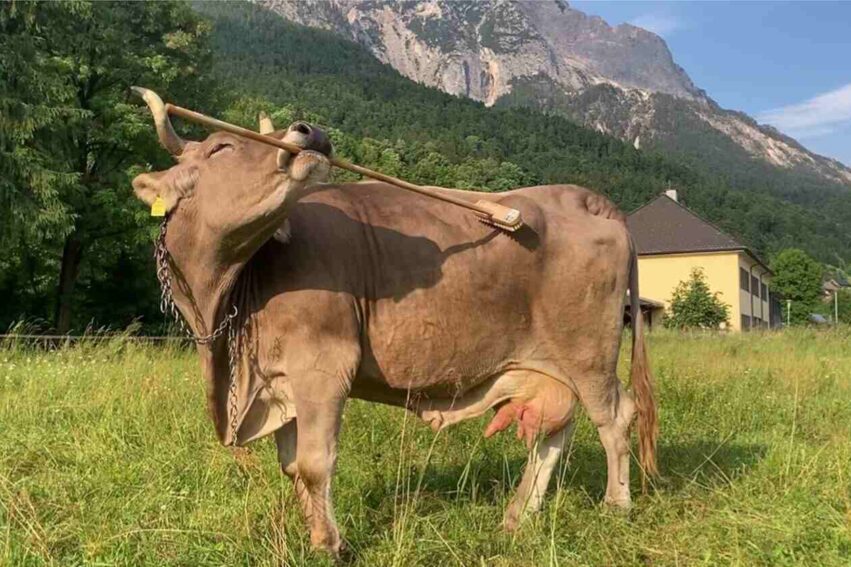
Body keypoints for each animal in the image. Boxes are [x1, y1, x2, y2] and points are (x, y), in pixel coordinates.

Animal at [131, 89, 657, 559]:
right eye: (220, 148)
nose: (310, 131)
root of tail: (582, 197)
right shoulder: (279, 381)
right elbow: (292, 466)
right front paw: (315, 535)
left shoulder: (323, 367)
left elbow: (315, 463)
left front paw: (331, 545)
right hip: (549, 364)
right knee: (556, 430)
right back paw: (517, 516)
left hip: (589, 352)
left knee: (614, 417)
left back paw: (615, 505)